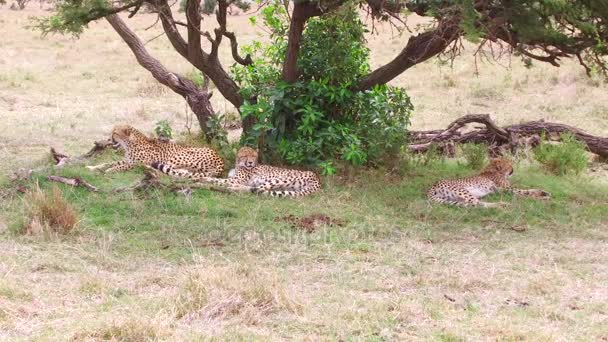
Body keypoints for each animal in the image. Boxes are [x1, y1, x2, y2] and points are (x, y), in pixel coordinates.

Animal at [86, 124, 224, 176]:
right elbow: (108, 163)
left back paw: (151, 169)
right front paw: (92, 167)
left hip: (176, 156)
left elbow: (119, 166)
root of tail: (220, 159)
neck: (130, 144)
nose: (109, 139)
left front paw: (110, 170)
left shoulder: (137, 162)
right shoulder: (128, 160)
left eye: (115, 133)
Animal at [151, 146, 320, 196]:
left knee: (255, 190)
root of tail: (317, 179)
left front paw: (203, 179)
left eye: (253, 156)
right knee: (253, 189)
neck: (239, 165)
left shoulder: (234, 179)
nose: (250, 162)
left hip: (274, 179)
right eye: (245, 155)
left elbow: (217, 179)